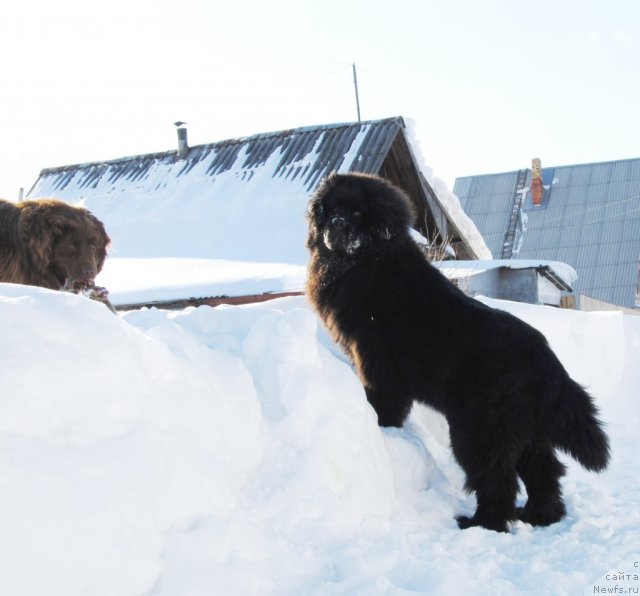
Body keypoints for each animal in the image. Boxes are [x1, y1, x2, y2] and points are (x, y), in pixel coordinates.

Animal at [304, 171, 608, 532]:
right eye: (332, 209)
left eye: (356, 213)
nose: (335, 225)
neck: (368, 259)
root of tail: (546, 360)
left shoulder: (376, 360)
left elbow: (383, 398)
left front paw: (381, 425)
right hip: (524, 429)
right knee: (544, 470)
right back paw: (540, 515)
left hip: (479, 427)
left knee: (496, 475)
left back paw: (483, 522)